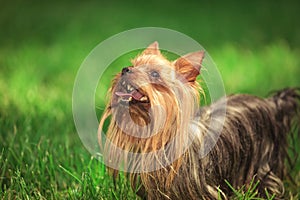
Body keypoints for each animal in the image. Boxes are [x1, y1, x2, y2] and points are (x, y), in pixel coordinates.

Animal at [98, 41, 298, 199]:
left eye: (154, 74)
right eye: (133, 65)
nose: (125, 70)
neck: (160, 139)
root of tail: (271, 103)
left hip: (262, 165)